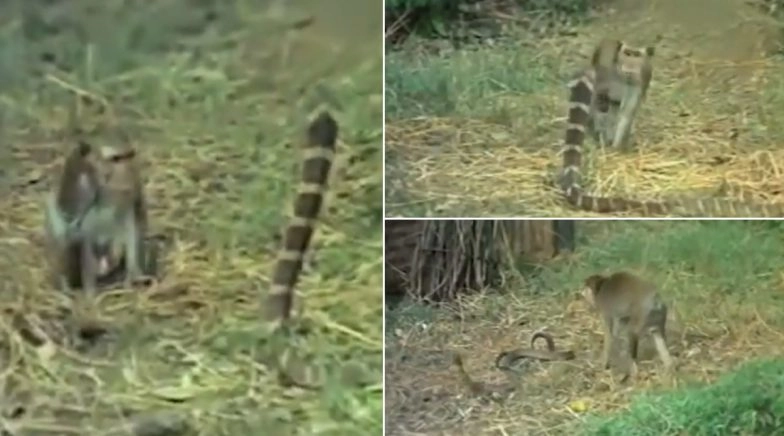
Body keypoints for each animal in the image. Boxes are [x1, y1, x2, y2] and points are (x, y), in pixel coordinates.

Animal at [558, 38, 784, 217]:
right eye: (627, 54)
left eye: (637, 55)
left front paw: (614, 148)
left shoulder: (639, 83)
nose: (629, 65)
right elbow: (598, 106)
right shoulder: (603, 78)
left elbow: (626, 114)